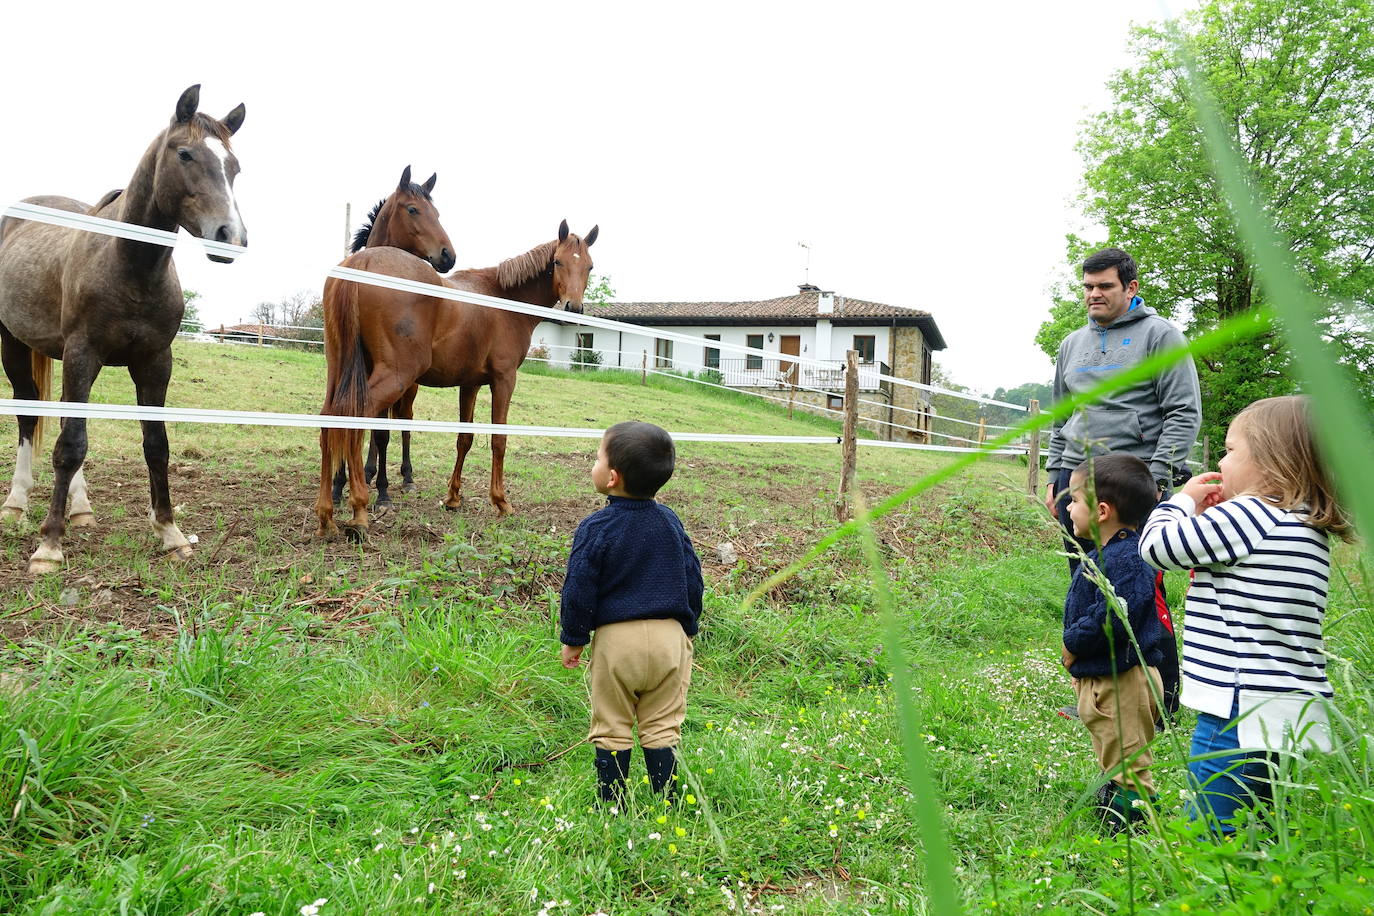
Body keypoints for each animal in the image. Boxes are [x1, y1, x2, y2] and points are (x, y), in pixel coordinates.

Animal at [0, 85, 247, 574]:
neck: (130, 264)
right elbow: (70, 444)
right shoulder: (83, 354)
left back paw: (80, 509)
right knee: (28, 413)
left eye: (234, 167)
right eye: (185, 153)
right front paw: (49, 546)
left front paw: (169, 532)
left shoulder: (154, 362)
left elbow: (156, 444)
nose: (231, 236)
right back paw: (17, 503)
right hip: (12, 344)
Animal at [324, 221, 604, 538]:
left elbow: (464, 439)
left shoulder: (470, 384)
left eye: (589, 266)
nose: (574, 308)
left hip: (341, 371)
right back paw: (359, 510)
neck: (502, 298)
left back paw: (326, 514)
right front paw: (500, 501)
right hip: (394, 376)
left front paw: (453, 497)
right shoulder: (504, 379)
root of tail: (363, 261)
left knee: (329, 420)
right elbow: (498, 440)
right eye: (558, 262)